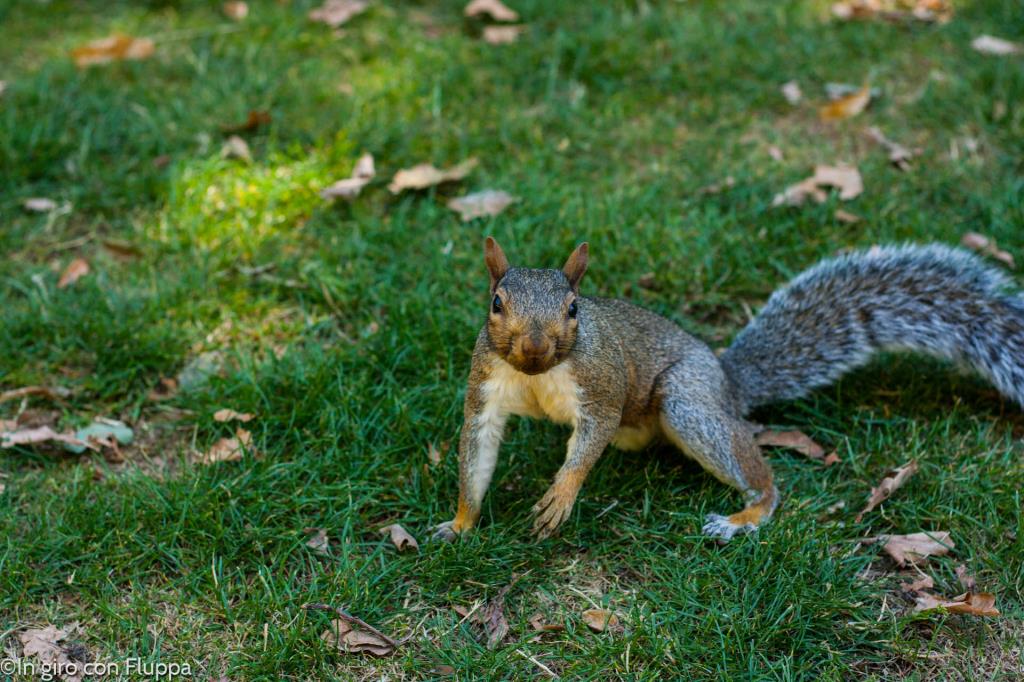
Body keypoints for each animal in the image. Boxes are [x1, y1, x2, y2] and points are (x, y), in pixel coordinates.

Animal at [433, 238, 1024, 542]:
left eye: (574, 309)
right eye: (496, 303)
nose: (534, 346)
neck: (537, 374)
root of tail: (725, 380)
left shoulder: (601, 383)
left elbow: (591, 436)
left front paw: (561, 494)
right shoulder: (485, 390)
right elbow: (476, 454)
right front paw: (460, 524)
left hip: (685, 400)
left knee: (760, 477)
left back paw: (745, 516)